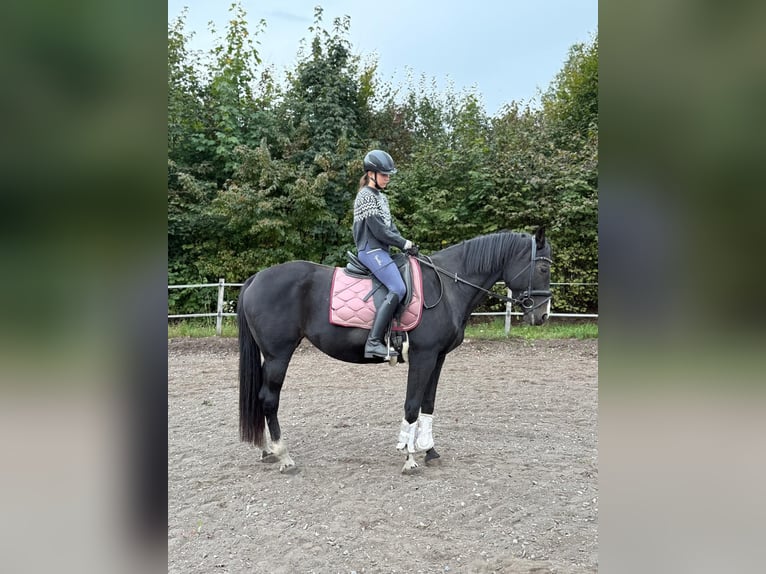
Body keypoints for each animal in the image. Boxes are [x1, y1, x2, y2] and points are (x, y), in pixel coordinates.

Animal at [237, 227, 552, 473]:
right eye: (543, 268)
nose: (543, 315)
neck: (448, 287)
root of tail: (255, 278)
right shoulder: (423, 356)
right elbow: (412, 404)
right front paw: (409, 457)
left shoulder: (438, 357)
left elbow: (428, 404)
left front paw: (430, 451)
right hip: (279, 355)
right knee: (269, 399)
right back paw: (284, 456)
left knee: (262, 397)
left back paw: (267, 451)